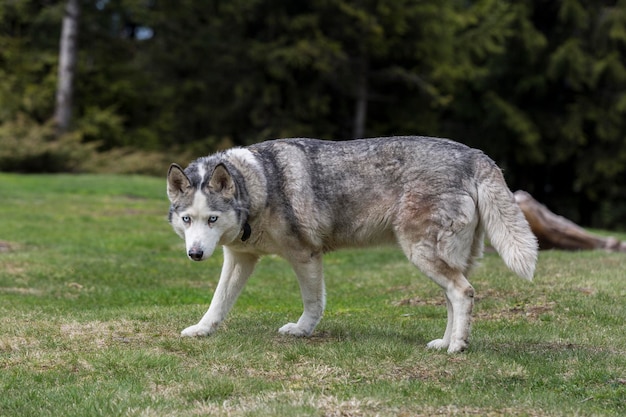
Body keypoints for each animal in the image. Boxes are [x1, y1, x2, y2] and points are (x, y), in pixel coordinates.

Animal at [167, 136, 536, 352]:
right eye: (187, 219)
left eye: (212, 219)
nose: (195, 254)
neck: (261, 185)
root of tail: (474, 153)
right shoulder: (239, 258)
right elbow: (218, 302)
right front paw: (202, 330)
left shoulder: (305, 255)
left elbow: (313, 302)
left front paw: (301, 331)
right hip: (440, 260)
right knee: (454, 297)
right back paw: (444, 342)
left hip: (422, 254)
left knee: (463, 292)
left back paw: (457, 346)